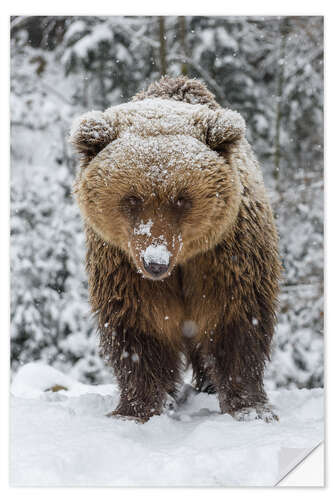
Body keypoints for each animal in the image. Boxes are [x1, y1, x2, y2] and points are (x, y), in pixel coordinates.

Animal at [69, 76, 280, 424]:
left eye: (181, 198)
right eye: (132, 198)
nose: (155, 261)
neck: (182, 262)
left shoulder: (224, 256)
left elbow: (235, 321)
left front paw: (250, 408)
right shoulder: (125, 267)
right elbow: (139, 330)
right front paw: (133, 410)